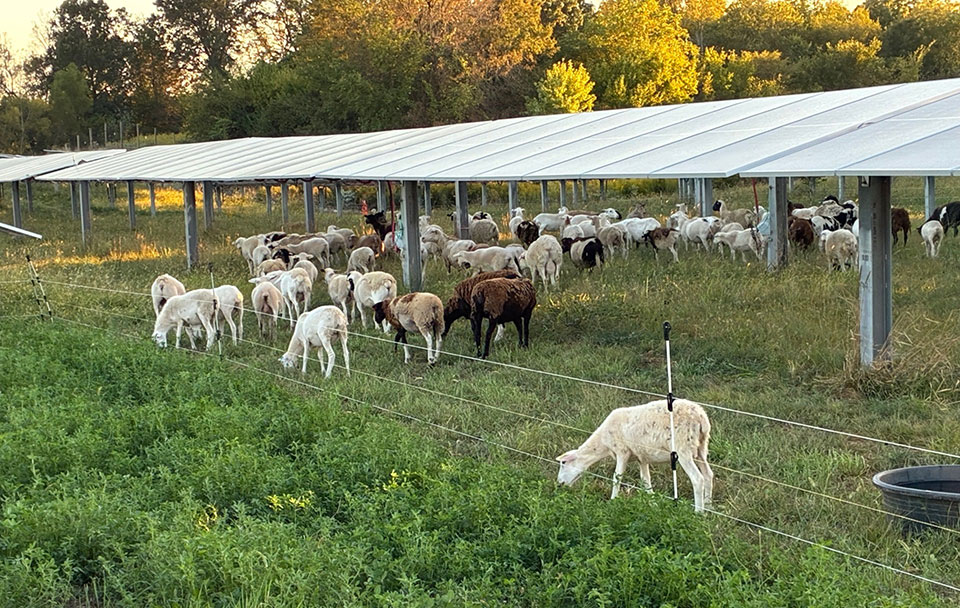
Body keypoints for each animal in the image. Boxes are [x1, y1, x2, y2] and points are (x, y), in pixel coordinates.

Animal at [555, 398, 713, 510]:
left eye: (563, 463)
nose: (559, 484)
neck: (603, 444)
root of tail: (701, 418)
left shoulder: (622, 451)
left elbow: (616, 478)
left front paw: (612, 502)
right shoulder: (641, 457)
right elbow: (646, 481)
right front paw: (654, 505)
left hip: (683, 448)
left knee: (697, 479)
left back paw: (698, 513)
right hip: (701, 448)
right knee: (708, 475)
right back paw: (708, 506)